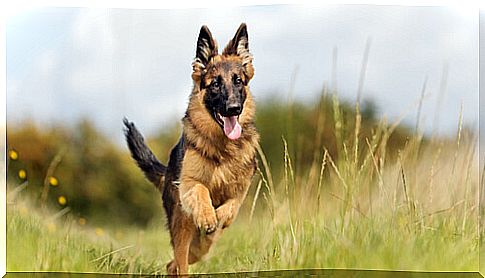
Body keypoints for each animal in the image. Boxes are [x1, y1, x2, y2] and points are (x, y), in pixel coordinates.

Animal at [122, 24, 258, 276]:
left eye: (238, 81)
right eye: (215, 84)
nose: (233, 108)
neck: (222, 147)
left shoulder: (241, 189)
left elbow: (232, 206)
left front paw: (219, 216)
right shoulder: (188, 183)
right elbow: (201, 190)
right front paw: (207, 215)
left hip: (201, 247)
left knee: (177, 261)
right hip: (183, 229)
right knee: (179, 261)